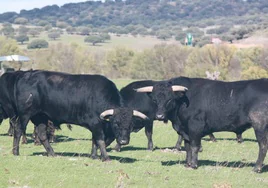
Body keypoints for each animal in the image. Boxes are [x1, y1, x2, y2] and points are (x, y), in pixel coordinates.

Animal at [0, 70, 149, 161]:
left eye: (130, 125)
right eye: (116, 123)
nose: (123, 141)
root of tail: (25, 75)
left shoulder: (96, 126)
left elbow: (94, 141)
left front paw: (94, 156)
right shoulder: (96, 124)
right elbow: (100, 140)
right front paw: (106, 157)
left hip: (40, 117)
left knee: (42, 135)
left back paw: (52, 153)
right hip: (25, 115)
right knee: (18, 130)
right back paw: (16, 152)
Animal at [136, 76, 268, 173]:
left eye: (169, 99)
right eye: (154, 100)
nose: (159, 116)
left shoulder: (195, 128)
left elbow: (194, 146)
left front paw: (194, 165)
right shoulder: (185, 131)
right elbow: (188, 147)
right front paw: (187, 164)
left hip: (260, 126)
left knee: (262, 146)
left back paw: (256, 168)